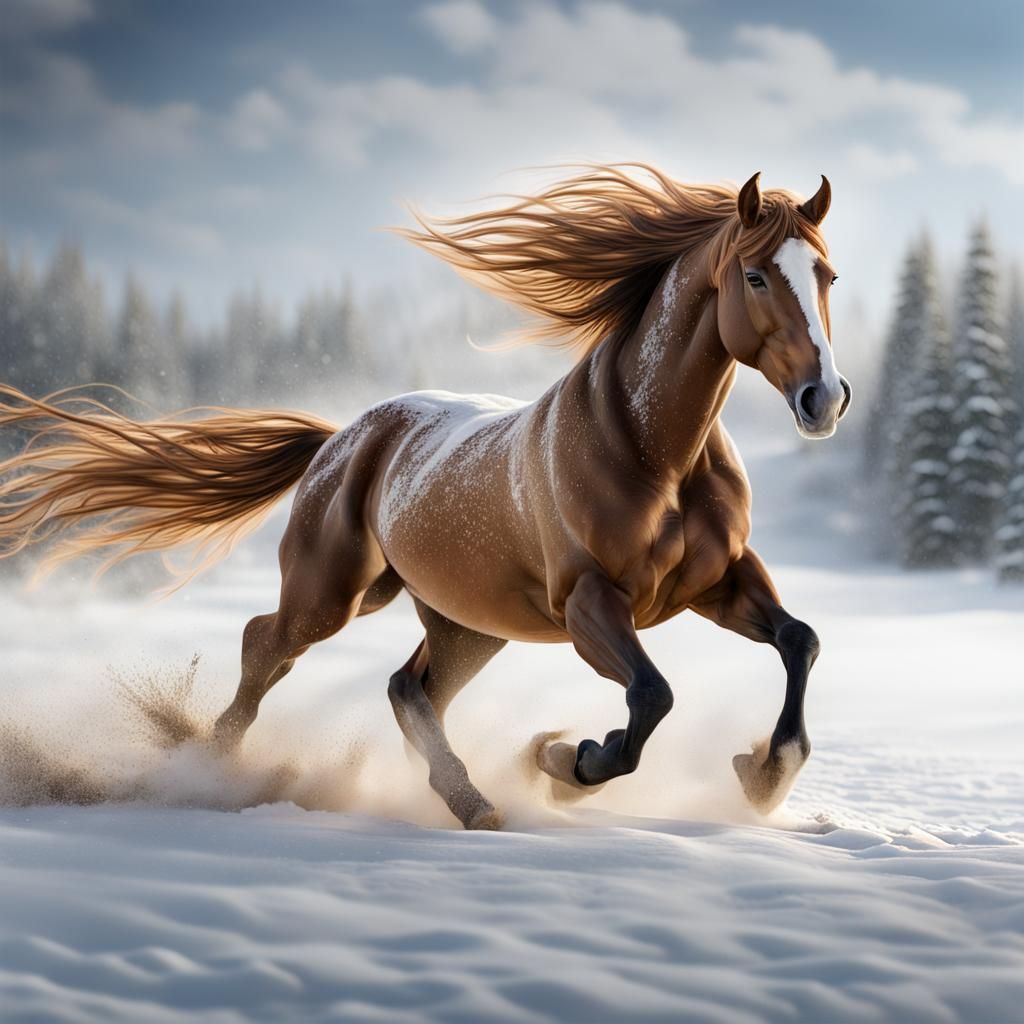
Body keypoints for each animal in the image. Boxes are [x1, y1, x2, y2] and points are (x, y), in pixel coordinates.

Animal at [0, 166, 851, 829]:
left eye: (827, 277)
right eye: (755, 276)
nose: (825, 399)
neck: (654, 455)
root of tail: (343, 434)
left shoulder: (718, 581)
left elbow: (799, 640)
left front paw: (762, 777)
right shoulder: (589, 602)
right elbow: (651, 695)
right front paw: (569, 760)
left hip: (466, 621)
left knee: (409, 688)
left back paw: (473, 802)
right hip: (335, 593)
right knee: (267, 645)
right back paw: (212, 766)